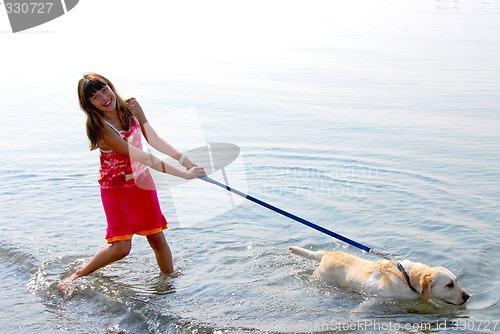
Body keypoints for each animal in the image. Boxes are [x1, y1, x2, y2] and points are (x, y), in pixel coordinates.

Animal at [290, 245, 468, 306]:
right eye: (449, 285)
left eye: (456, 281)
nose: (467, 297)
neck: (407, 279)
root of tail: (327, 253)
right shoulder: (377, 297)